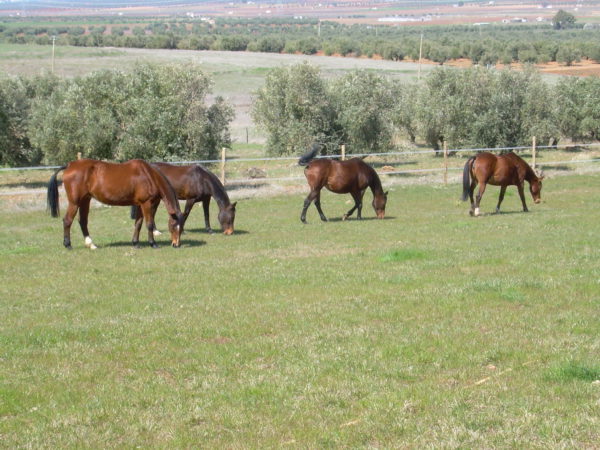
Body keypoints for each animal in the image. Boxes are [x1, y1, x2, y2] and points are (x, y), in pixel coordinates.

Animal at [47, 159, 184, 250]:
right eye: (173, 225)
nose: (176, 244)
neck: (149, 175)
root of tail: (70, 165)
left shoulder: (140, 204)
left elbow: (138, 224)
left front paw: (135, 243)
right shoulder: (146, 204)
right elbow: (149, 224)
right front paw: (153, 243)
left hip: (85, 200)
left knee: (83, 221)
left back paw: (91, 244)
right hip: (75, 202)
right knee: (67, 221)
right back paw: (68, 244)